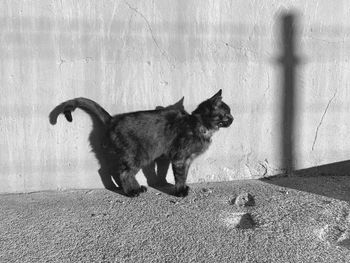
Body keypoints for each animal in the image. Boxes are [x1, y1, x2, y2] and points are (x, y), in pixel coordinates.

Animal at [49, 89, 232, 197]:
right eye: (227, 114)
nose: (233, 119)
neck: (199, 124)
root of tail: (112, 119)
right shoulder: (179, 158)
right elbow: (179, 176)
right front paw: (180, 191)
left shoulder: (186, 160)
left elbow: (184, 175)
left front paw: (184, 187)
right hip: (139, 155)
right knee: (122, 173)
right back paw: (132, 192)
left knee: (121, 172)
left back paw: (138, 188)